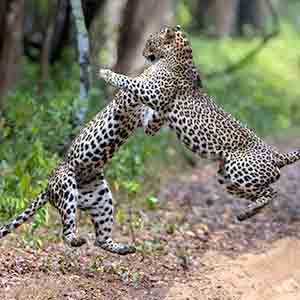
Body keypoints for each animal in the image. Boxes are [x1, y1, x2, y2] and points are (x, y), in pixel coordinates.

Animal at [99, 24, 300, 221]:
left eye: (150, 42)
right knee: (259, 192)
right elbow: (151, 118)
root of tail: (276, 155)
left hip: (239, 171)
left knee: (272, 192)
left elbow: (129, 81)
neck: (179, 54)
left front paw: (107, 73)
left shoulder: (154, 92)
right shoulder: (156, 112)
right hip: (227, 178)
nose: (142, 53)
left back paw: (249, 211)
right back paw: (246, 213)